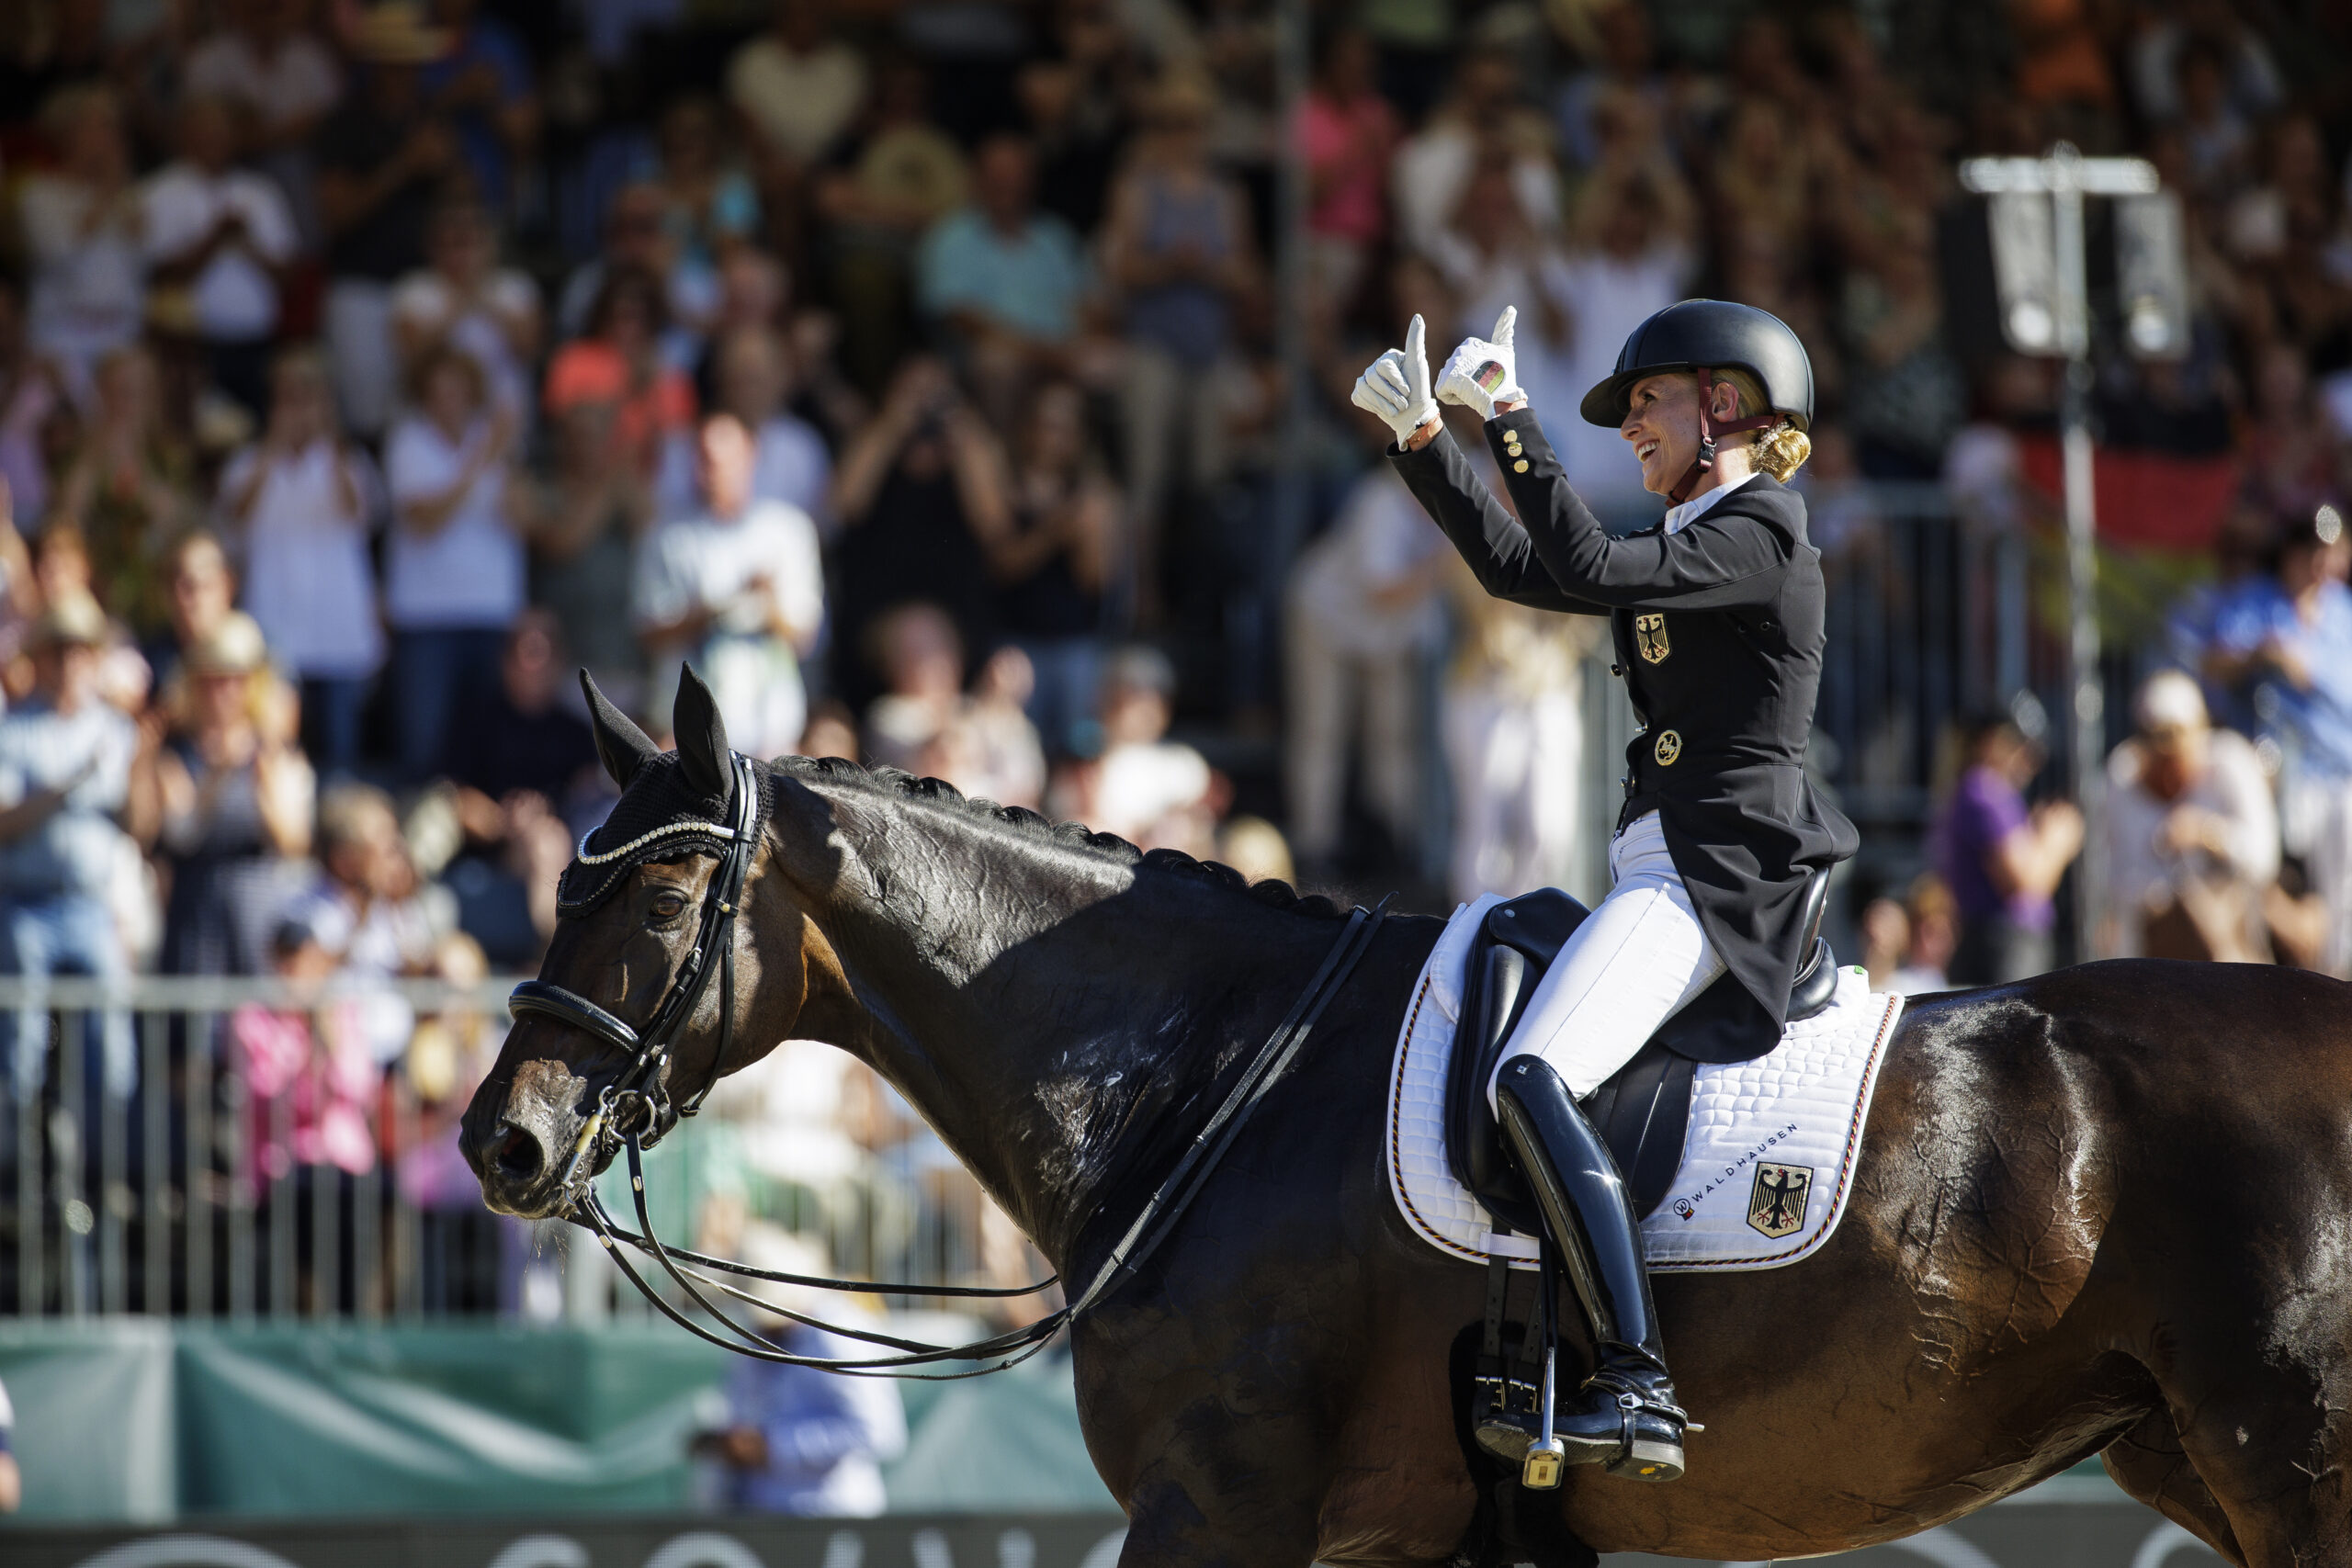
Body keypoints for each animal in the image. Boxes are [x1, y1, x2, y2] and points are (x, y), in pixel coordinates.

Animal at [462, 674, 2352, 1568]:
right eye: (560, 879)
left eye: (664, 891)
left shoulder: (1216, 1507)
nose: (504, 1141)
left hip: (2292, 1459)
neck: (1204, 1073)